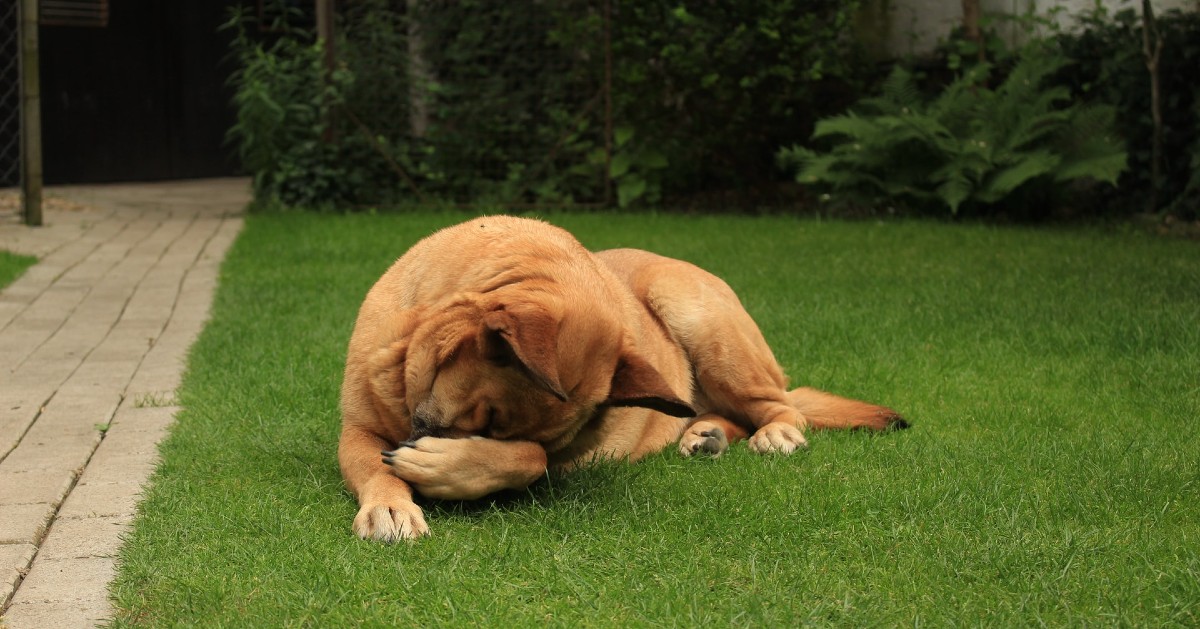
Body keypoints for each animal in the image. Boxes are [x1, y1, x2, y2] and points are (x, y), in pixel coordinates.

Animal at [338, 216, 902, 540]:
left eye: (491, 427)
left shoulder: (556, 461)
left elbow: (530, 459)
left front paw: (444, 467)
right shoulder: (356, 431)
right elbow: (373, 465)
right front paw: (391, 505)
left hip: (697, 315)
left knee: (779, 404)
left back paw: (776, 433)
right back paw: (706, 434)